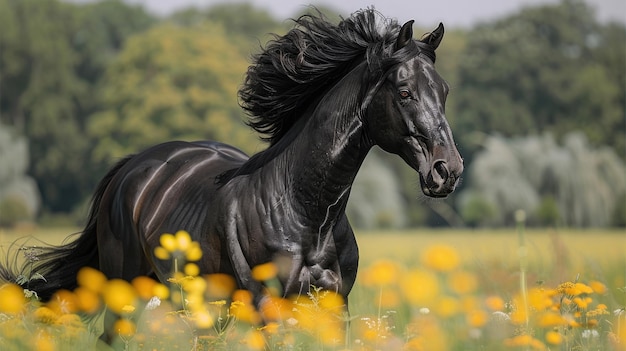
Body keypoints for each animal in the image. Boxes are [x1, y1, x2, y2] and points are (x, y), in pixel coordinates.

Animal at [1, 8, 458, 308]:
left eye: (445, 91)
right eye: (404, 92)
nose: (447, 171)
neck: (307, 213)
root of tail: (132, 166)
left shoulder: (332, 306)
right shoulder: (266, 306)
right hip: (124, 284)